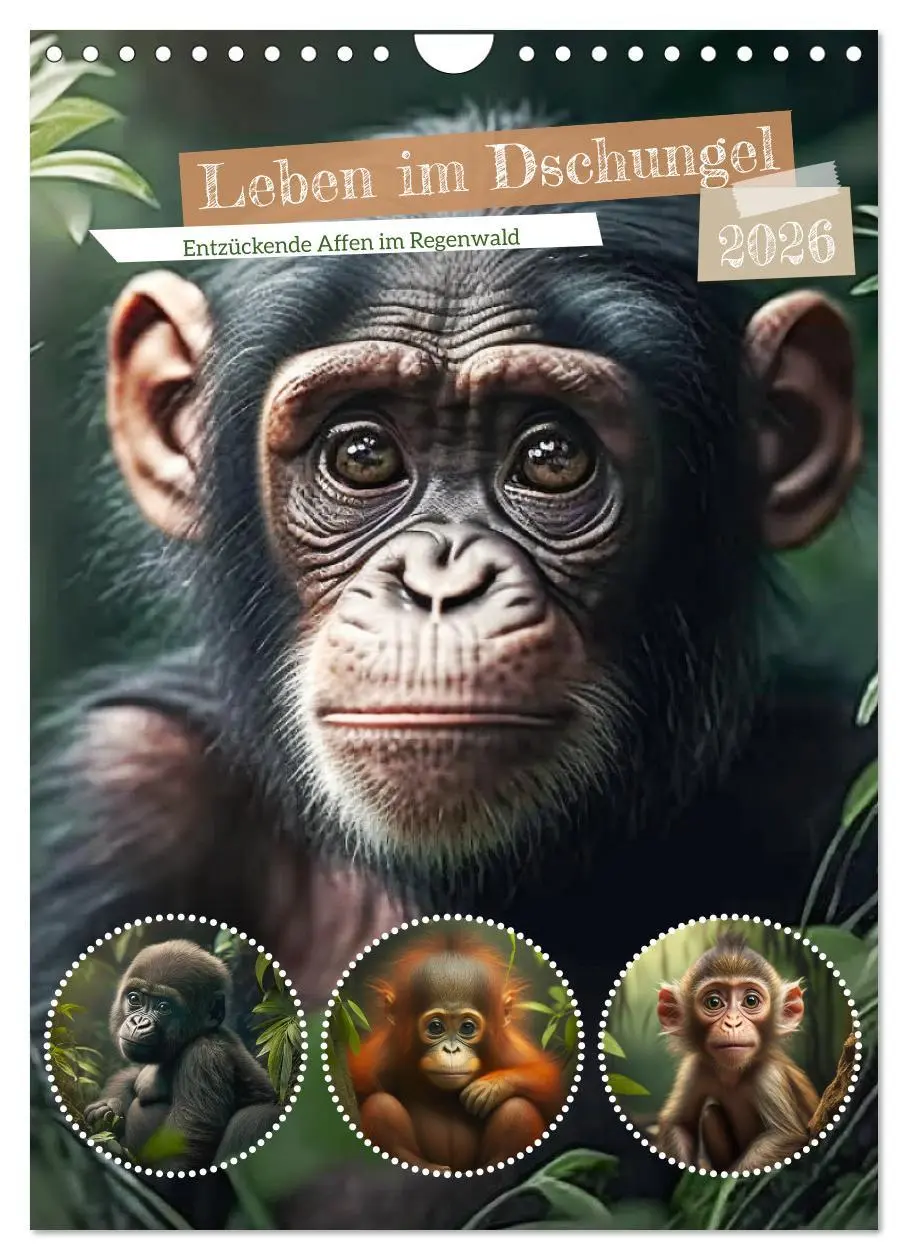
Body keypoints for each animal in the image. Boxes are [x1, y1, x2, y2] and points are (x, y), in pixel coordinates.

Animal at [655, 932, 820, 1172]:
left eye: (751, 1001)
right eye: (714, 1002)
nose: (733, 1022)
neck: (733, 1074)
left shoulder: (769, 1075)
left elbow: (785, 1135)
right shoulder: (695, 1067)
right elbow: (680, 1124)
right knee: (710, 1113)